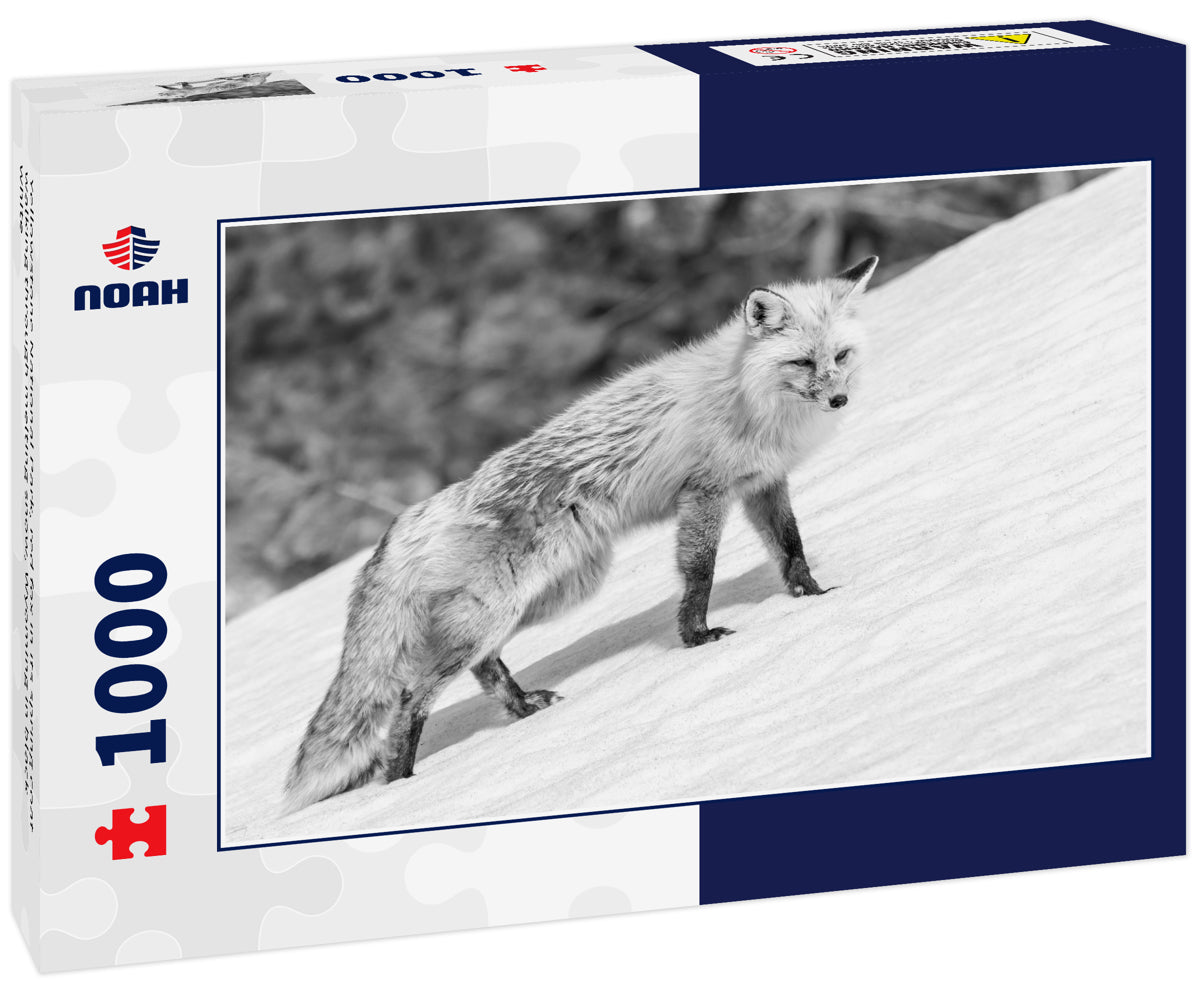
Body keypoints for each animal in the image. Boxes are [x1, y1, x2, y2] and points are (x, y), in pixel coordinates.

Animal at [282, 255, 878, 812]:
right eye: (802, 362)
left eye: (841, 356)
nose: (839, 401)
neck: (750, 397)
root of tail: (412, 518)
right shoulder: (704, 493)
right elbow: (700, 572)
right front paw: (697, 637)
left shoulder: (763, 483)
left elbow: (791, 546)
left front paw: (812, 595)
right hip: (503, 609)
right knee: (410, 695)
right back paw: (400, 782)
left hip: (550, 596)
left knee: (484, 666)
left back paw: (522, 709)